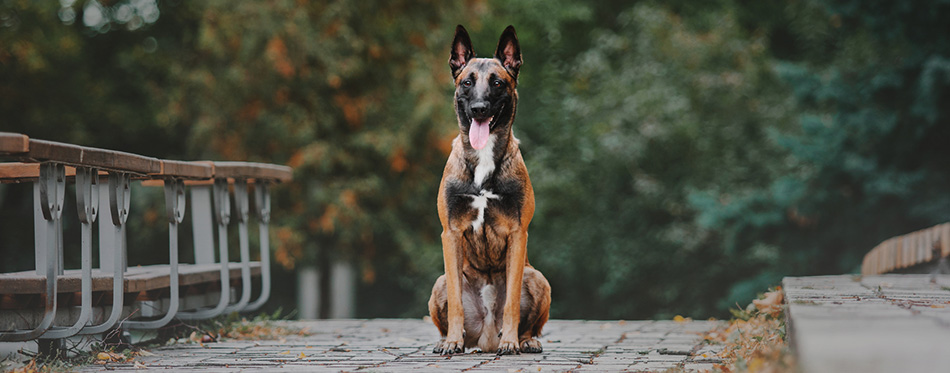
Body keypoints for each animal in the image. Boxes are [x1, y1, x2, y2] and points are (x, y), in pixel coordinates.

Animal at [430, 24, 556, 356]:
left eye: (497, 83)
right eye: (467, 83)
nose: (479, 108)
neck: (483, 157)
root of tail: (484, 338)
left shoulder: (517, 234)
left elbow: (511, 300)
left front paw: (510, 341)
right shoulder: (450, 233)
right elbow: (457, 304)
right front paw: (453, 341)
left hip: (537, 277)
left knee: (530, 323)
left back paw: (525, 340)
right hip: (439, 281)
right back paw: (447, 340)